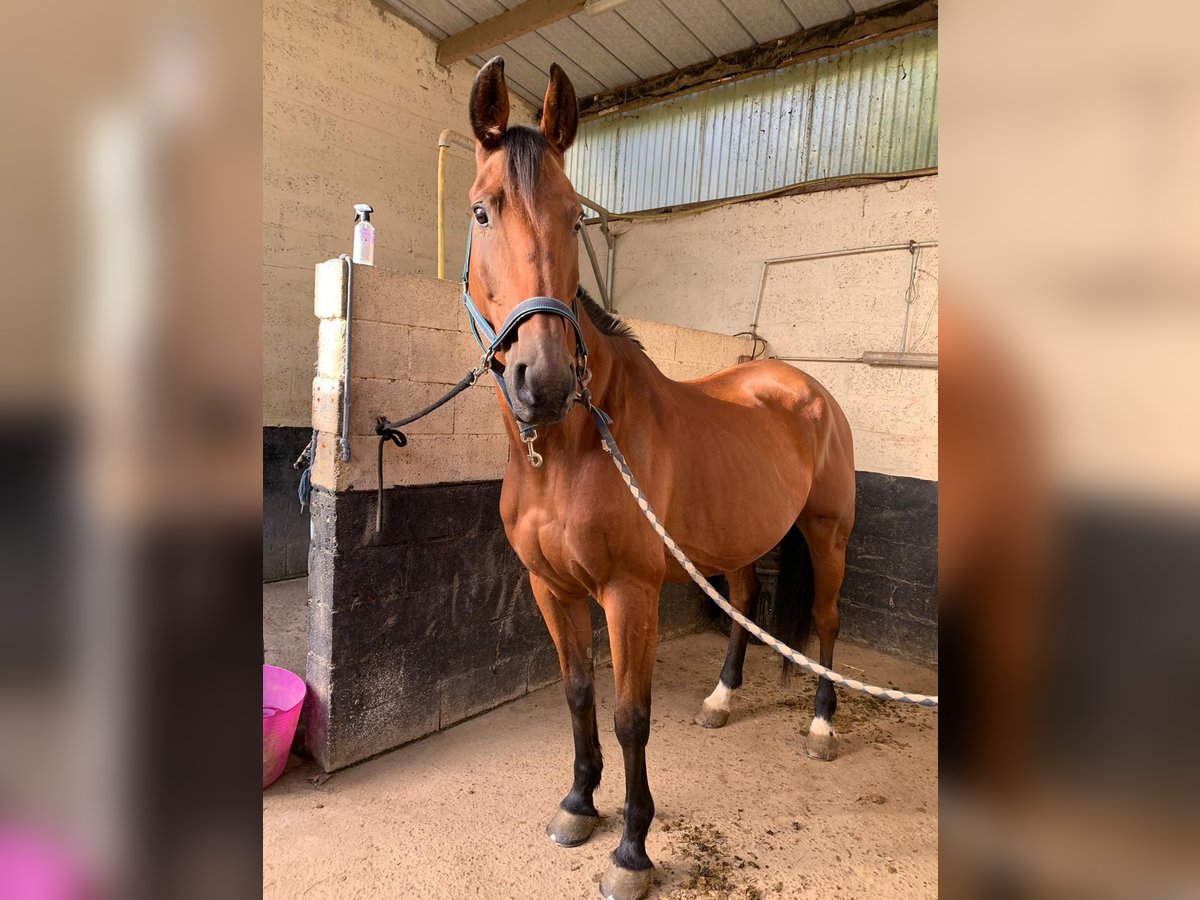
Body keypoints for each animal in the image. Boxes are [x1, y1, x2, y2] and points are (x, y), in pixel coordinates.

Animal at [465, 58, 854, 900]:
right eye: (481, 212)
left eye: (575, 216)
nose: (543, 380)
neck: (572, 446)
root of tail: (805, 387)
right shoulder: (551, 587)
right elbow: (579, 693)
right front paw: (579, 804)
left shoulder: (629, 593)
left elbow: (630, 716)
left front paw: (632, 849)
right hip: (737, 538)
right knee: (744, 601)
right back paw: (721, 699)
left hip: (827, 533)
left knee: (826, 620)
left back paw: (821, 725)